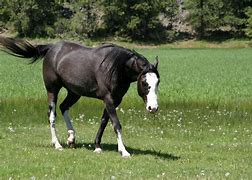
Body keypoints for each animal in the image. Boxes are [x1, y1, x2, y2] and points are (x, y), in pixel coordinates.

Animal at [0, 35, 159, 157]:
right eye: (144, 82)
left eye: (158, 82)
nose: (153, 108)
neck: (115, 67)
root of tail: (52, 48)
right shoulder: (108, 99)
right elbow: (116, 124)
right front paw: (124, 151)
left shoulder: (115, 100)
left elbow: (104, 122)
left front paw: (97, 146)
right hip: (52, 90)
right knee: (52, 114)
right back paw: (57, 144)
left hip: (74, 93)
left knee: (63, 107)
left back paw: (71, 138)